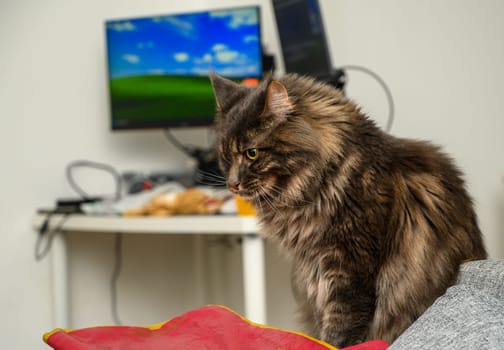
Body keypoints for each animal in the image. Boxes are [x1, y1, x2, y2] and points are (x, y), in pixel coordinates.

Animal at [209, 72, 488, 348]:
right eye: (225, 157)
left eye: (252, 153)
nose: (232, 184)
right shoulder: (315, 275)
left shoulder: (351, 269)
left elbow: (340, 331)